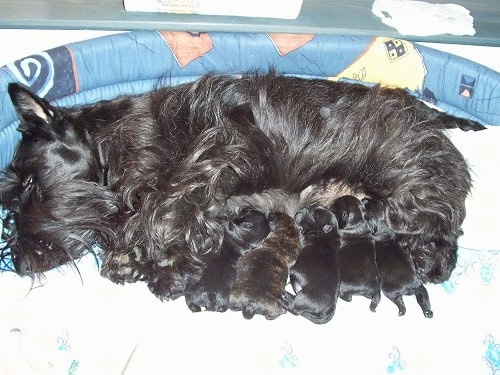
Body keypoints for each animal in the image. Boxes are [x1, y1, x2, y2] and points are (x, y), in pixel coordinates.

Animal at [0, 73, 484, 302]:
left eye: (30, 183)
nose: (19, 263)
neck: (111, 145)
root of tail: (430, 117)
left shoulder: (222, 148)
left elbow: (164, 207)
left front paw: (163, 264)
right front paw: (130, 258)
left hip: (408, 182)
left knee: (441, 237)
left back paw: (426, 258)